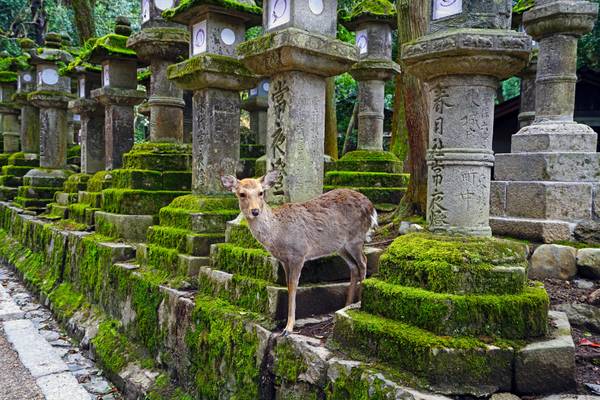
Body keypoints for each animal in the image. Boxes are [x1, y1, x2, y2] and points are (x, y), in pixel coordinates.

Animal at [223, 170, 378, 336]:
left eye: (261, 192)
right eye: (241, 194)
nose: (255, 211)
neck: (278, 234)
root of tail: (372, 208)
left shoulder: (299, 253)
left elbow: (293, 285)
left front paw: (288, 328)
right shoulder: (284, 260)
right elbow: (288, 285)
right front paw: (286, 325)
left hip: (356, 238)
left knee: (363, 262)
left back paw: (358, 303)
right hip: (340, 246)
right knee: (353, 266)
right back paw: (345, 305)